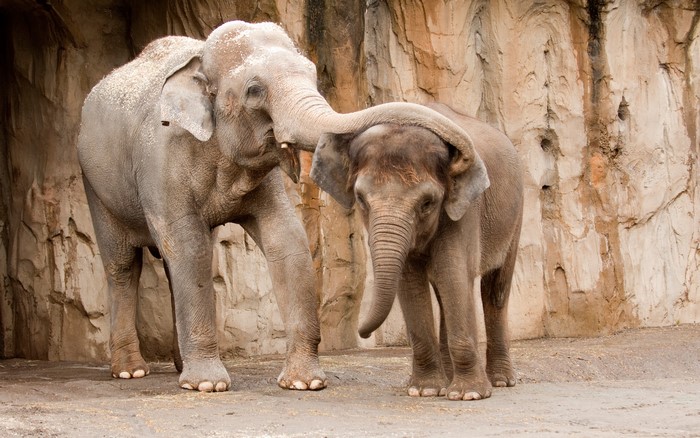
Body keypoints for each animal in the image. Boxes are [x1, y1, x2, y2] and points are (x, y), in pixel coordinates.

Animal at [77, 21, 483, 393]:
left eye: (313, 76)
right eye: (255, 91)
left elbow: (286, 241)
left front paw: (304, 382)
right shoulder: (162, 158)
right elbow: (187, 245)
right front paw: (209, 385)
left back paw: (177, 367)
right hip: (94, 181)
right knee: (124, 265)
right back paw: (131, 371)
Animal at [310, 102, 524, 400]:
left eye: (427, 203)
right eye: (361, 199)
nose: (361, 333)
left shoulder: (463, 209)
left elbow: (454, 274)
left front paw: (468, 394)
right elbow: (410, 281)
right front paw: (425, 390)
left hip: (515, 215)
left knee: (495, 288)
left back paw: (502, 381)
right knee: (445, 294)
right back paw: (449, 380)